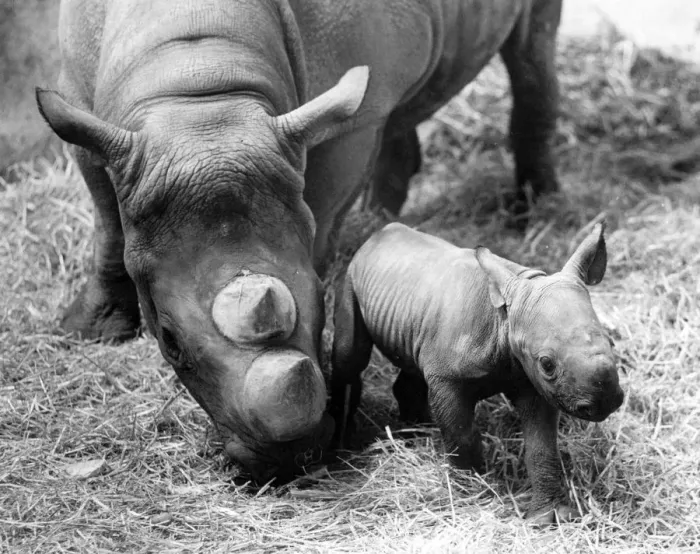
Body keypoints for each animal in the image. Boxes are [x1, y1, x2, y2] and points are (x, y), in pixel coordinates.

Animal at [35, 0, 563, 481]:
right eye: (169, 340)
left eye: (321, 303)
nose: (289, 462)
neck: (199, 96)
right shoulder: (83, 107)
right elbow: (108, 218)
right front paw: (91, 331)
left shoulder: (350, 121)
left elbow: (322, 213)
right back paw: (382, 216)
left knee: (530, 50)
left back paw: (532, 209)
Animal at [331, 222, 624, 524]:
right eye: (547, 364)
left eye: (612, 343)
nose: (606, 402)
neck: (504, 320)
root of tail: (375, 237)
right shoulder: (448, 378)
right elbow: (461, 434)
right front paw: (471, 494)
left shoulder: (530, 379)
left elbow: (541, 444)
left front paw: (552, 515)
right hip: (351, 276)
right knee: (351, 357)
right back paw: (344, 444)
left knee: (413, 362)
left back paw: (419, 431)